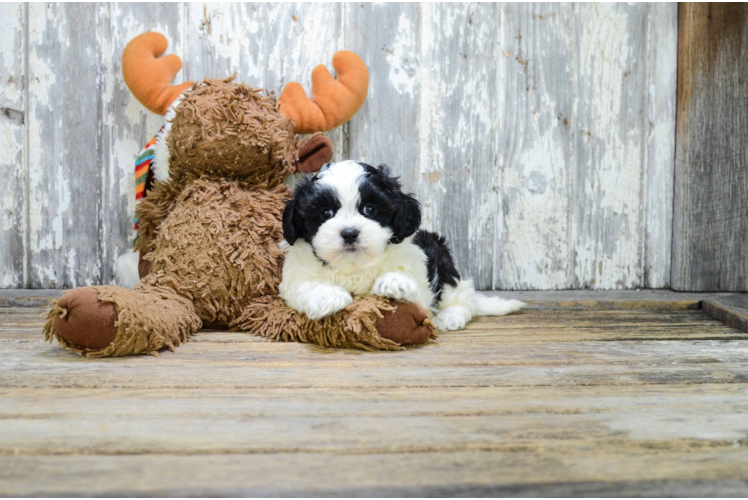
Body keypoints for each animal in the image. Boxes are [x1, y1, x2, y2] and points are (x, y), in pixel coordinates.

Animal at [280, 161, 524, 328]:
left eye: (369, 209)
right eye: (326, 212)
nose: (349, 233)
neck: (355, 266)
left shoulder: (419, 271)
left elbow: (408, 280)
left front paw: (395, 280)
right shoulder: (294, 275)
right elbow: (304, 284)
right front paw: (327, 296)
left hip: (442, 260)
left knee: (461, 297)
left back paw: (450, 317)